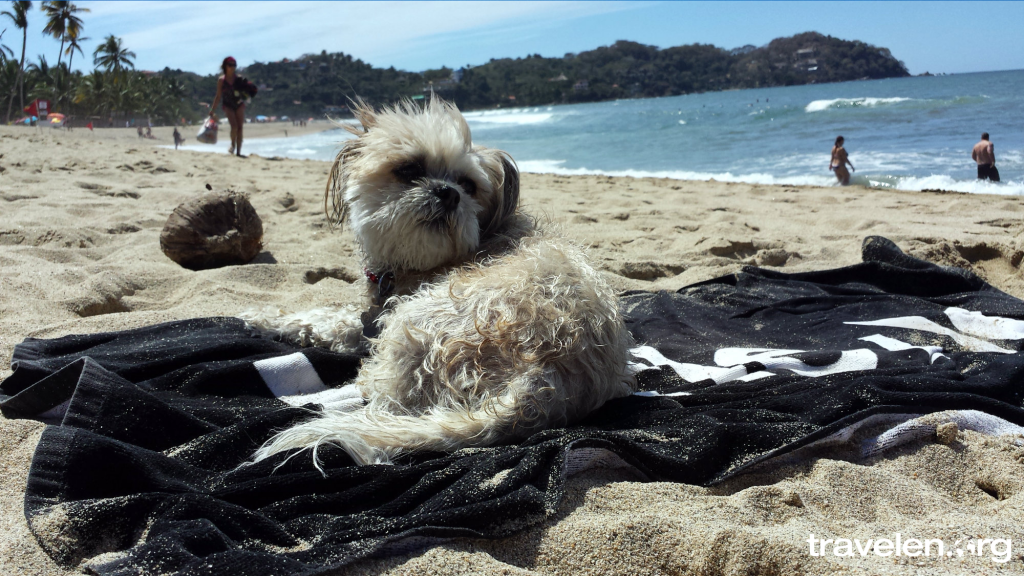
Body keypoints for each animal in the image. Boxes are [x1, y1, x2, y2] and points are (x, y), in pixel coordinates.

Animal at [242, 96, 634, 463]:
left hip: (410, 324)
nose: (448, 192)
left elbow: (322, 318)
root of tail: (542, 380)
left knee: (388, 399)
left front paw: (260, 317)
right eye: (409, 169)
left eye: (468, 185)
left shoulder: (376, 319)